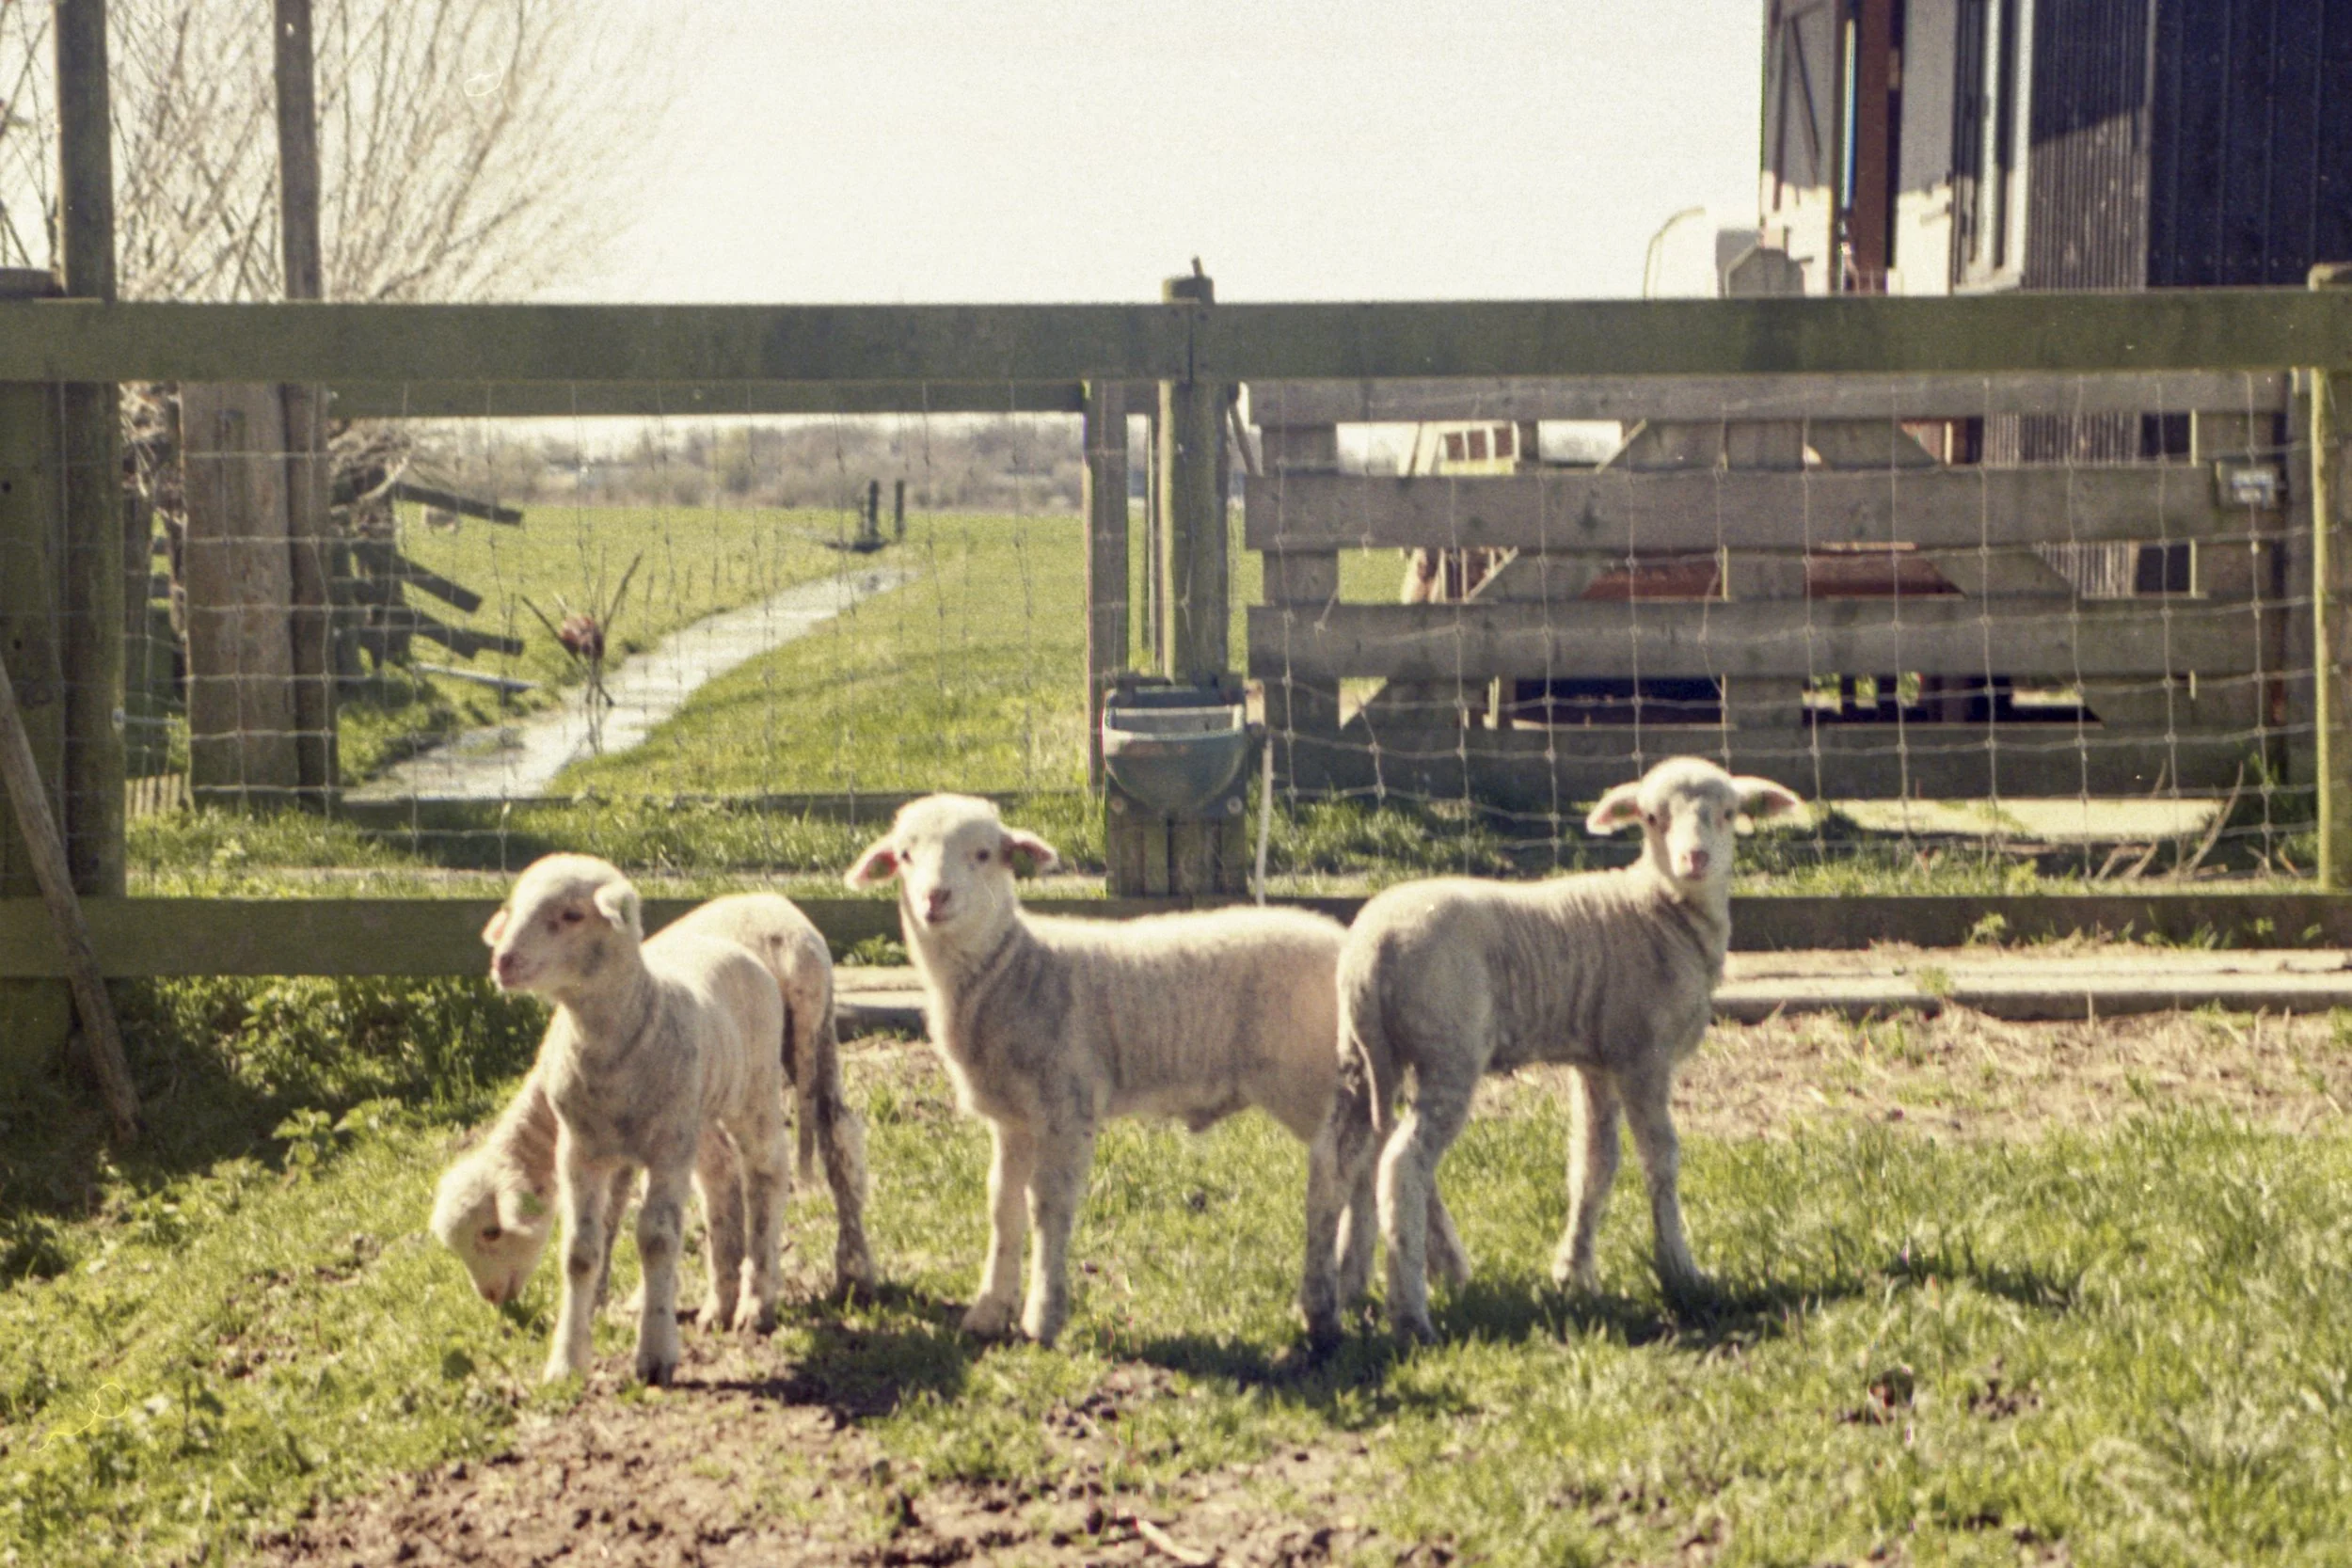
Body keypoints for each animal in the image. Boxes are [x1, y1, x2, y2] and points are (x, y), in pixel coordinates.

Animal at [432, 893, 874, 1309]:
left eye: (491, 1232)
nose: (492, 1297)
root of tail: (785, 942)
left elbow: (615, 1207)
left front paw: (606, 1296)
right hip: (818, 1026)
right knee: (839, 1132)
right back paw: (853, 1271)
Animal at [484, 854, 792, 1385]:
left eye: (571, 915)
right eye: (515, 907)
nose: (502, 960)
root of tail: (725, 940)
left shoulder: (667, 1148)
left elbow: (657, 1239)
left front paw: (655, 1352)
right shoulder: (579, 1151)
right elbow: (580, 1251)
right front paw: (566, 1360)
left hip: (752, 1093)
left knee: (766, 1173)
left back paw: (757, 1301)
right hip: (697, 1116)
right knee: (722, 1177)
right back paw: (725, 1303)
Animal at [845, 792, 1465, 1346]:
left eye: (982, 854)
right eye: (904, 855)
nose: (935, 897)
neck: (1012, 967)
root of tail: (1353, 949)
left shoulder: (1067, 1103)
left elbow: (1049, 1206)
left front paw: (1043, 1317)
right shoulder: (1012, 1118)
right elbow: (1003, 1208)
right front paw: (989, 1309)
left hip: (1313, 1080)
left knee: (1363, 1158)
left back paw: (1402, 1273)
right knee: (1369, 1159)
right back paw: (1388, 1275)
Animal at [1298, 756, 1804, 1347]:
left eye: (1727, 814)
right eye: (1652, 818)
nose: (1694, 859)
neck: (1657, 909)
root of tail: (1370, 951)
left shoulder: (1598, 1059)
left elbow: (1594, 1164)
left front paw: (1574, 1272)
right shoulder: (1642, 1053)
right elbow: (1661, 1159)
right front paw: (1680, 1271)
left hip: (1362, 1053)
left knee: (1337, 1158)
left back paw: (1323, 1305)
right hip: (1448, 1048)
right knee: (1403, 1162)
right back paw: (1411, 1314)